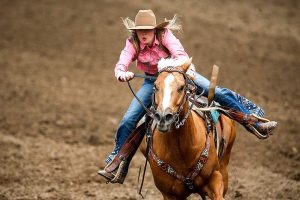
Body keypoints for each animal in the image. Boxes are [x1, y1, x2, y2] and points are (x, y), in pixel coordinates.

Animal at [141, 57, 237, 199]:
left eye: (181, 87)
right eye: (155, 87)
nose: (163, 117)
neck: (181, 150)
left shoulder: (215, 177)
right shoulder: (169, 194)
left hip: (225, 165)